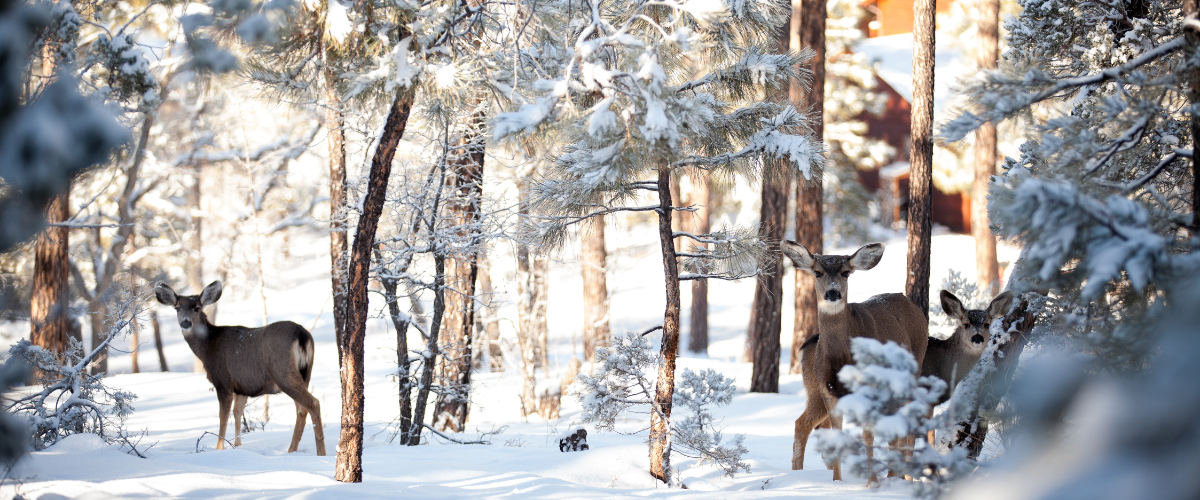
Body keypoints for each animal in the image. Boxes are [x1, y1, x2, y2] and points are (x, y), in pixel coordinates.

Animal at [153, 278, 328, 453]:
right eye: (177, 308)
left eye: (196, 308)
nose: (185, 323)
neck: (207, 347)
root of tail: (302, 334)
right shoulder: (242, 387)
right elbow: (237, 412)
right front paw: (237, 445)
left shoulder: (223, 381)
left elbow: (223, 417)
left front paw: (219, 448)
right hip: (306, 372)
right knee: (301, 409)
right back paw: (292, 450)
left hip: (282, 371)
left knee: (312, 403)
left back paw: (320, 452)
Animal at [782, 239, 931, 482]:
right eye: (817, 272)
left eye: (845, 272)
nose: (833, 292)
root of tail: (909, 303)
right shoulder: (827, 388)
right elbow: (837, 433)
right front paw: (837, 481)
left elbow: (867, 434)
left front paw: (872, 482)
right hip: (816, 391)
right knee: (804, 423)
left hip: (914, 367)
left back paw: (901, 476)